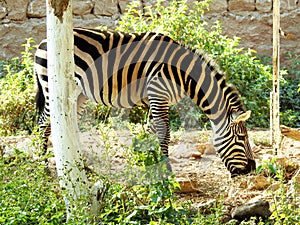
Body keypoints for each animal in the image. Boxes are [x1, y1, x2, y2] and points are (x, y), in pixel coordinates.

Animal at [34, 27, 255, 177]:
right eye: (242, 138)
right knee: (43, 125)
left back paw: (80, 165)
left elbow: (150, 131)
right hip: (52, 86)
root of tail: (43, 41)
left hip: (77, 94)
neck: (183, 75)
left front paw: (145, 164)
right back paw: (42, 166)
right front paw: (166, 171)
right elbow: (164, 134)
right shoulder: (158, 94)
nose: (252, 169)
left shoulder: (154, 98)